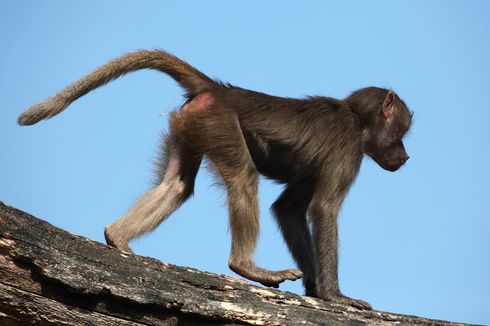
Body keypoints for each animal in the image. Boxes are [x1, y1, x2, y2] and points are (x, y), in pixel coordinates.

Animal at [17, 49, 412, 310]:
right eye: (402, 131)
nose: (406, 156)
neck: (355, 118)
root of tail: (222, 90)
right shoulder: (347, 150)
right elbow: (324, 209)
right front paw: (335, 296)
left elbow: (288, 209)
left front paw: (315, 291)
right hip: (218, 121)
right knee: (243, 178)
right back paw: (246, 267)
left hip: (193, 122)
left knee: (177, 186)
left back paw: (117, 237)